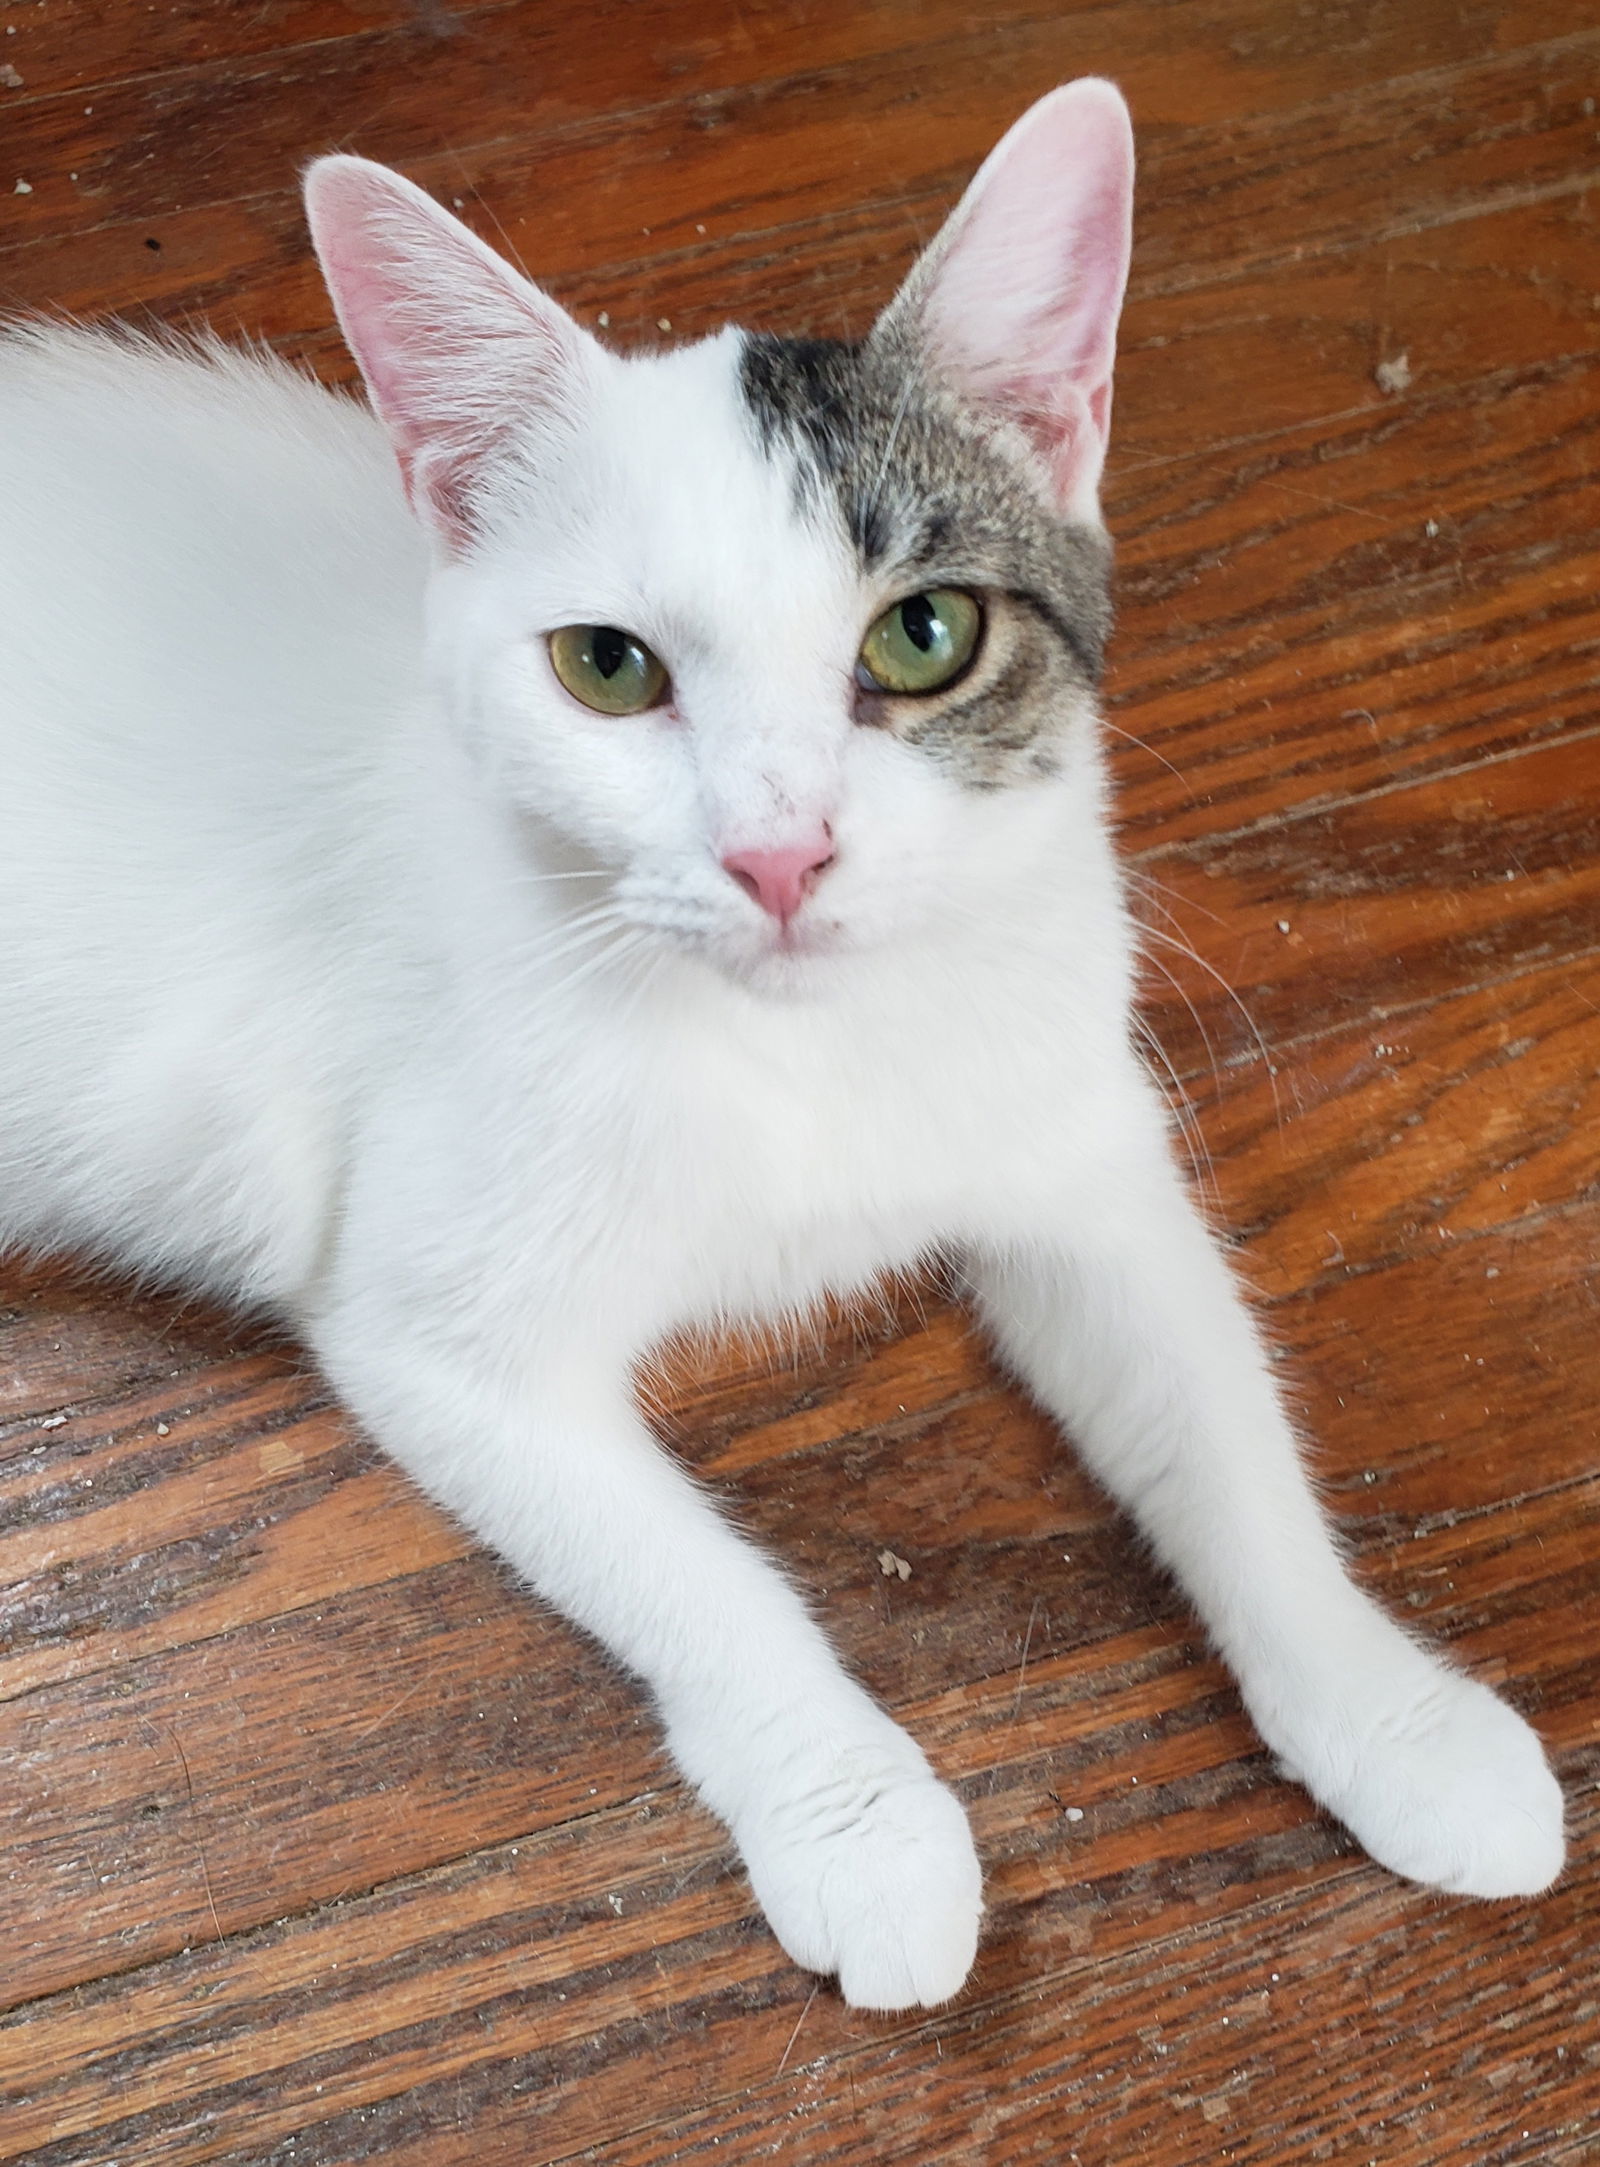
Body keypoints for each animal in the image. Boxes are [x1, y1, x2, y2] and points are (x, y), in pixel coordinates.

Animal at [0, 84, 1560, 2010]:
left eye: (925, 633)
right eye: (606, 665)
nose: (779, 855)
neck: (809, 1052)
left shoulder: (1081, 1157)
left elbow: (1229, 1431)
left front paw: (1390, 1712)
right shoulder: (436, 1338)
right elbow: (703, 1583)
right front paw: (861, 1821)